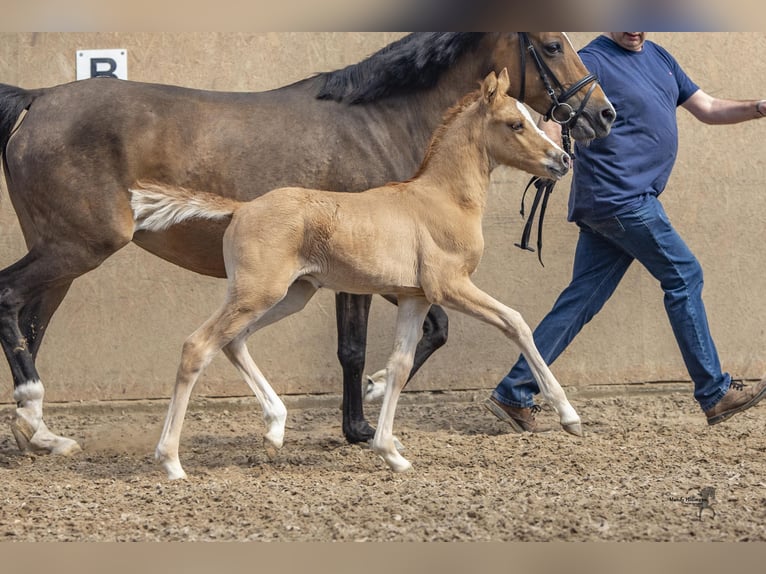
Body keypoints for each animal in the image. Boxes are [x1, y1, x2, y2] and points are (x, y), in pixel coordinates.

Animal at [134, 68, 584, 482]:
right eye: (515, 124)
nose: (563, 160)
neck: (442, 200)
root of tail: (241, 208)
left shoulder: (415, 297)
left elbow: (400, 364)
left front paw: (390, 451)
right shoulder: (450, 286)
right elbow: (516, 322)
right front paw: (569, 417)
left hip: (291, 295)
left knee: (233, 341)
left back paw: (275, 429)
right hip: (257, 293)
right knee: (198, 346)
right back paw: (171, 462)